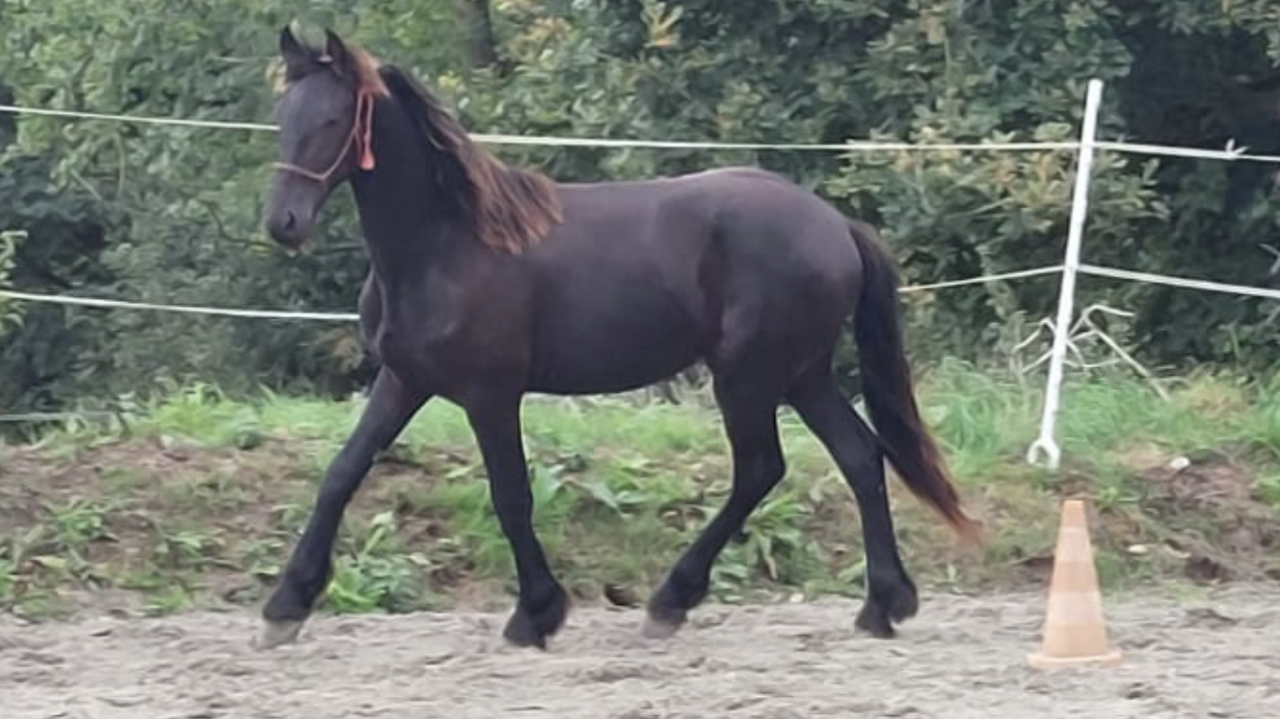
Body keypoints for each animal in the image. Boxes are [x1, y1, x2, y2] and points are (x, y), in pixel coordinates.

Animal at [258, 26, 981, 650]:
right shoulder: (406, 380)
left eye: (332, 121)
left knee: (760, 469)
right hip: (802, 374)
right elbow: (341, 473)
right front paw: (285, 607)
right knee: (859, 455)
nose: (283, 223)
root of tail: (836, 224)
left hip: (747, 376)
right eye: (283, 115)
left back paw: (671, 601)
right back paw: (882, 605)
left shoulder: (491, 394)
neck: (448, 243)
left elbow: (511, 496)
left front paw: (536, 614)